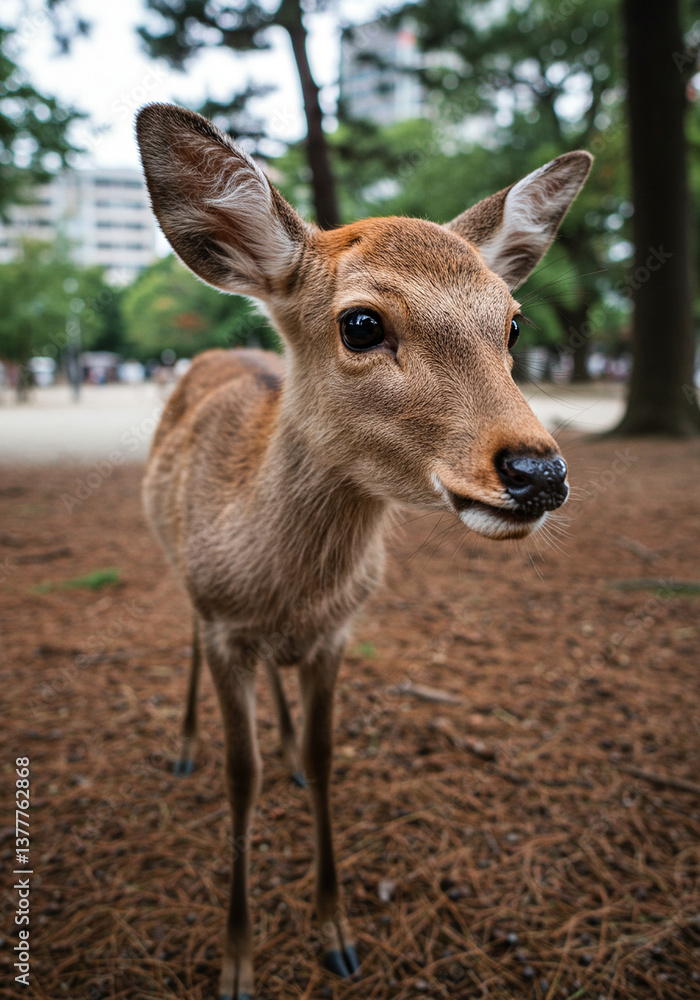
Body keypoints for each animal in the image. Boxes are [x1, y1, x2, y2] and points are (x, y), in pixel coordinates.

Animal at [135, 102, 592, 1000]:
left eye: (513, 321)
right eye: (361, 323)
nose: (538, 472)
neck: (276, 583)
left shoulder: (339, 628)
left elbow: (325, 753)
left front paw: (336, 932)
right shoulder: (224, 624)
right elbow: (240, 776)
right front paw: (236, 961)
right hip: (179, 576)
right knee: (185, 647)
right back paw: (182, 749)